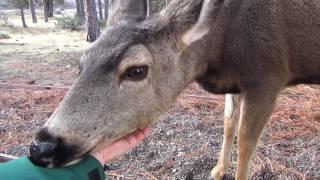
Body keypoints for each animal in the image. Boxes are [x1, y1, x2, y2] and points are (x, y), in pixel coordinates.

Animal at [28, 0, 320, 179]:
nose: (42, 147)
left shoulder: (266, 76)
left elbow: (247, 143)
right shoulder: (235, 82)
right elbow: (228, 124)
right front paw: (217, 170)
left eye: (136, 70)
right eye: (82, 63)